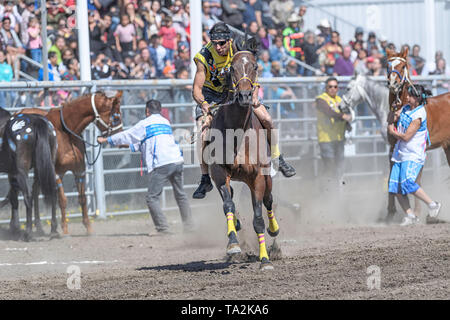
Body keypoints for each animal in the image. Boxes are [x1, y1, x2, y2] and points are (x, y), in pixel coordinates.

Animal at [19, 91, 123, 234]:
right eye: (116, 118)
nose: (121, 138)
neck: (66, 133)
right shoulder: (57, 173)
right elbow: (62, 200)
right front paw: (65, 229)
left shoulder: (79, 171)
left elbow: (82, 198)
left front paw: (88, 227)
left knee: (35, 191)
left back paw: (39, 227)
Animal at [206, 50, 280, 270]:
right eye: (232, 67)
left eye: (255, 66)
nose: (245, 96)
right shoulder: (220, 172)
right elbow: (228, 205)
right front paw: (233, 244)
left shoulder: (258, 177)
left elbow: (258, 219)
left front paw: (265, 260)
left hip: (266, 178)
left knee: (269, 201)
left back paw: (274, 230)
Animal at [384, 49, 450, 220]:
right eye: (388, 65)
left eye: (403, 66)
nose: (393, 84)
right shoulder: (392, 149)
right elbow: (390, 178)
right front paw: (390, 212)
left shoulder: (420, 151)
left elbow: (417, 180)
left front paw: (418, 211)